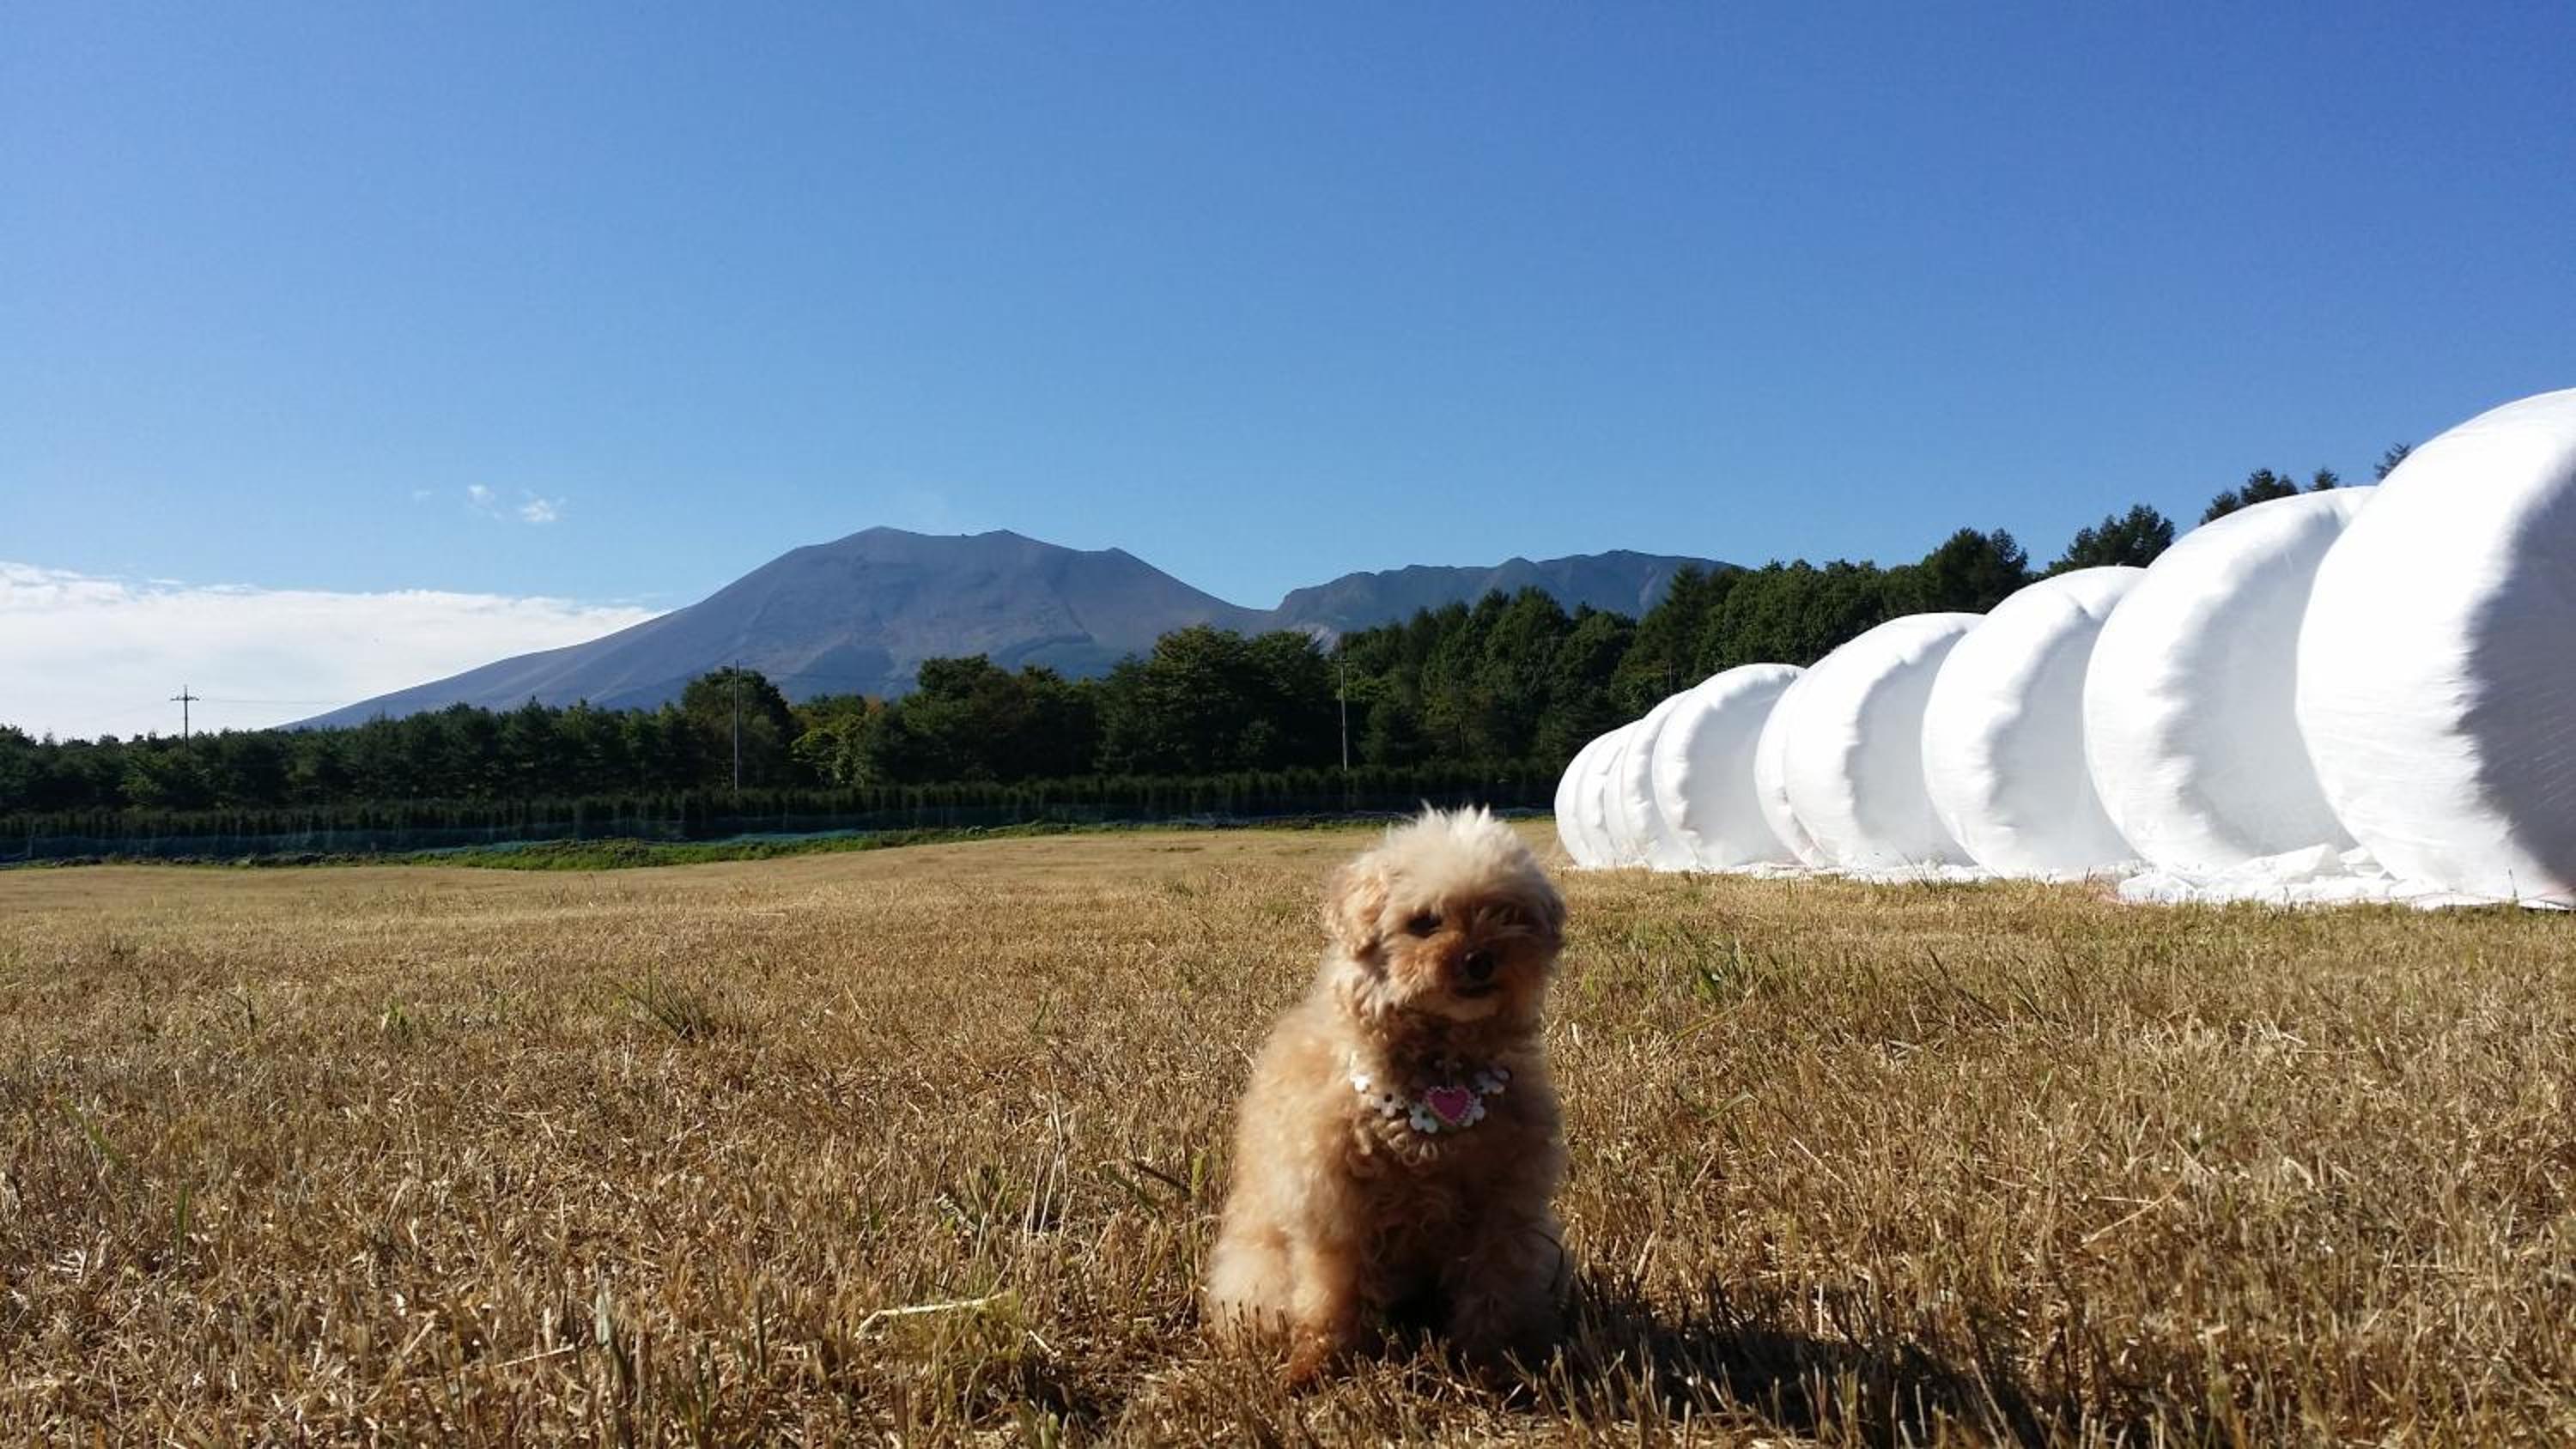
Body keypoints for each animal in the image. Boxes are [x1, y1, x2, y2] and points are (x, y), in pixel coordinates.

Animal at [1204, 806, 1571, 1382]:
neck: (1438, 1071)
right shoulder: (1334, 1205)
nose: (1479, 959)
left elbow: (1496, 1287)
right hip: (1258, 1272)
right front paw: (1318, 1364)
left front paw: (1495, 1363)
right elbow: (1332, 1294)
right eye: (1424, 922)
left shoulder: (1506, 1203)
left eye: (1507, 914)